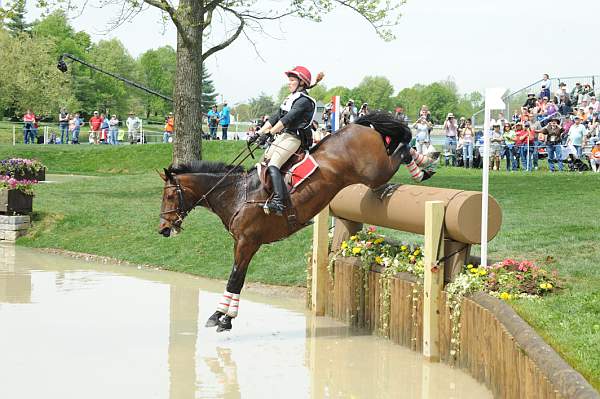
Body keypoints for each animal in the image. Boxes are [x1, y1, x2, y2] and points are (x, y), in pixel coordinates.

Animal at [157, 111, 424, 332]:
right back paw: (423, 165)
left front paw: (223, 317)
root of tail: (357, 126)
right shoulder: (240, 243)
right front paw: (222, 315)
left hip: (375, 172)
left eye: (169, 196)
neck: (236, 193)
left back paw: (422, 165)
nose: (163, 229)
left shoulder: (247, 242)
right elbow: (237, 277)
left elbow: (235, 277)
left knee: (401, 147)